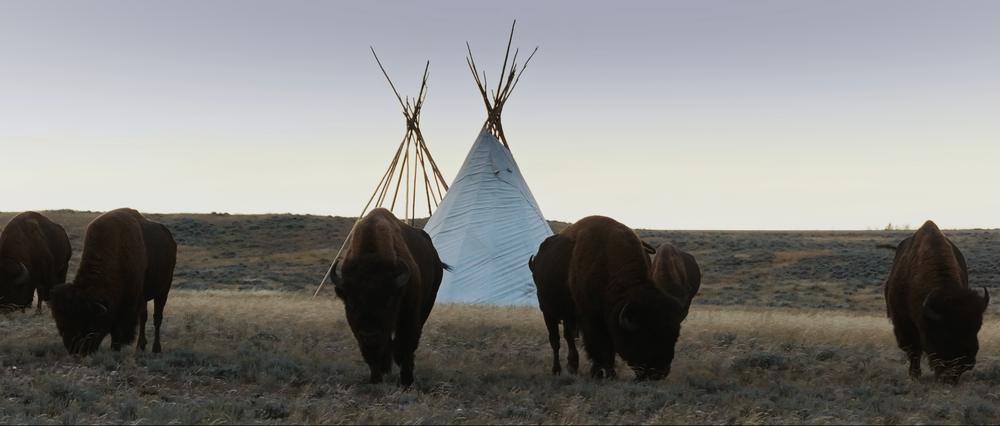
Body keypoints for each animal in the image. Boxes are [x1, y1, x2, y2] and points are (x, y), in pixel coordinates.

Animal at [49, 208, 176, 355]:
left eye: (85, 322)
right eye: (60, 323)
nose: (76, 351)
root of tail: (170, 239)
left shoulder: (127, 303)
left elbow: (118, 330)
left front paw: (115, 349)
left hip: (164, 289)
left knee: (157, 318)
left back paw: (156, 349)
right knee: (144, 317)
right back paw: (140, 346)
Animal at [332, 208, 446, 386]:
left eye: (389, 300)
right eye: (350, 300)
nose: (370, 335)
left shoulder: (408, 316)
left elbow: (404, 347)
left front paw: (407, 381)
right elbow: (378, 352)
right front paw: (375, 379)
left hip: (429, 302)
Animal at [531, 215, 686, 380]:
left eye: (674, 337)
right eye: (644, 339)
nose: (660, 373)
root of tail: (537, 259)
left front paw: (600, 373)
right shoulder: (591, 319)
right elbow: (602, 349)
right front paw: (606, 375)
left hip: (567, 314)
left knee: (568, 336)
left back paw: (573, 366)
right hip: (546, 310)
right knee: (555, 340)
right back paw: (557, 370)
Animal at [884, 220, 989, 384]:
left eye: (977, 327)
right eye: (945, 332)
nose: (967, 363)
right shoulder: (904, 321)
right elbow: (914, 350)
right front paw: (915, 375)